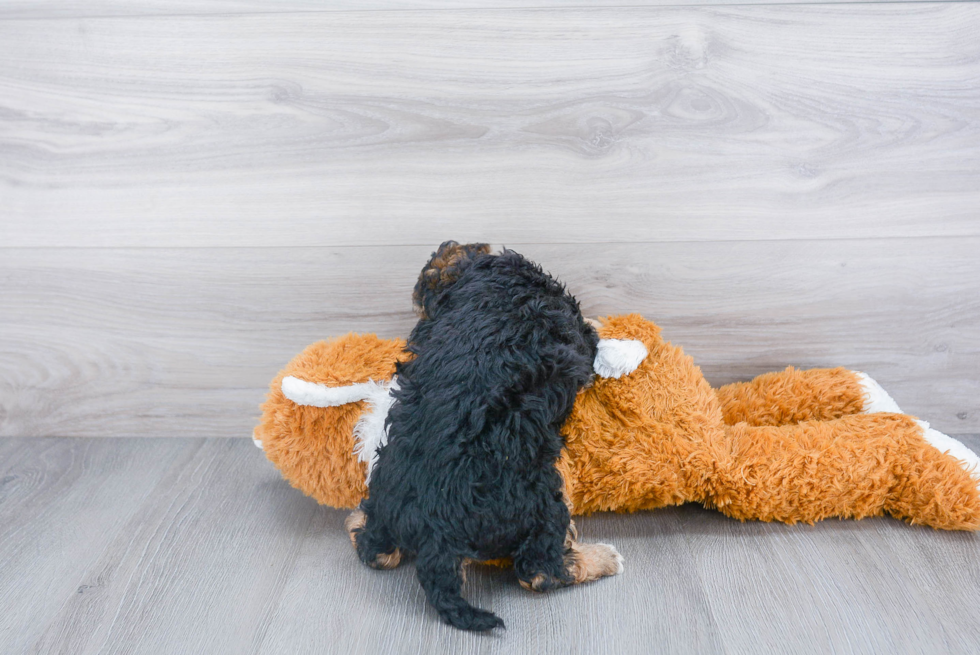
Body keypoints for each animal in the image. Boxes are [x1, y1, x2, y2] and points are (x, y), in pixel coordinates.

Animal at [348, 241, 600, 632]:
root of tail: (435, 530)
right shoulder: (577, 337)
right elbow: (590, 340)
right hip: (541, 502)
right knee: (539, 572)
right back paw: (602, 558)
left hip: (386, 493)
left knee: (375, 550)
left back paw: (358, 525)